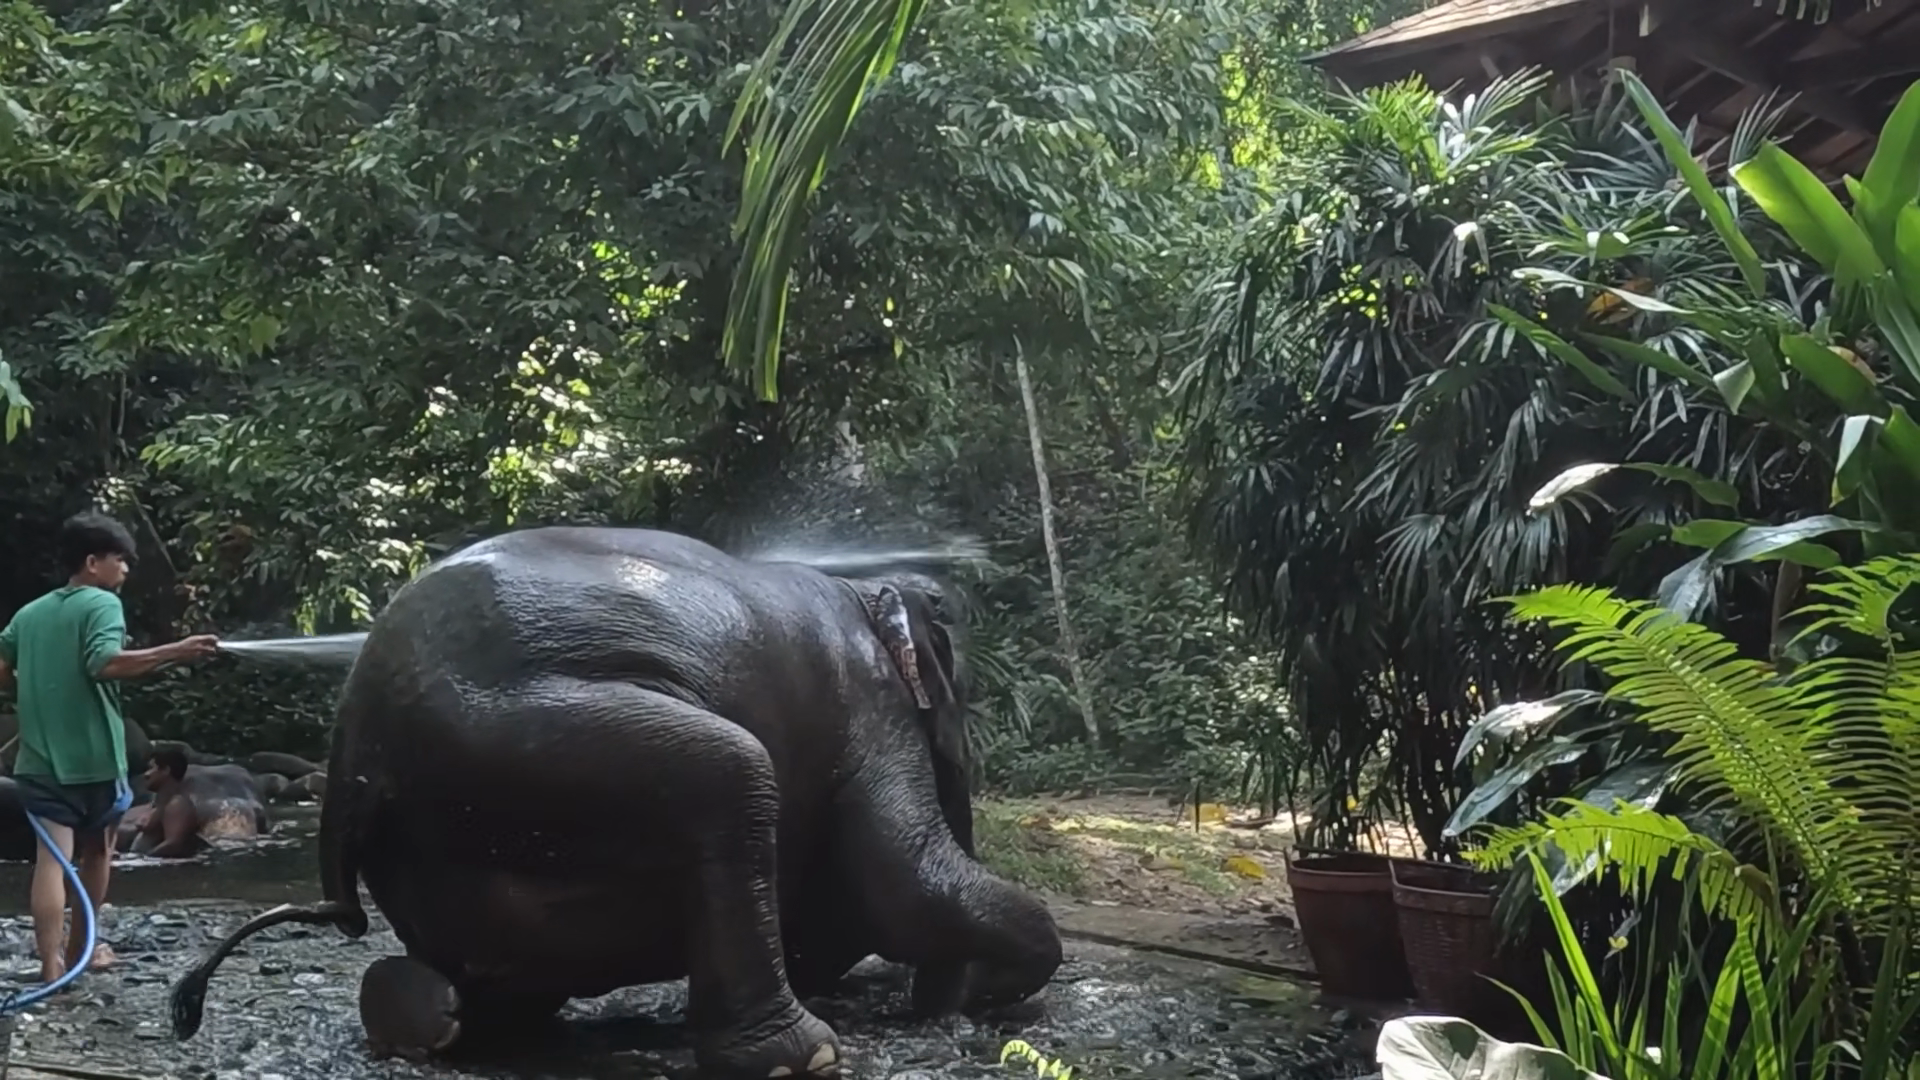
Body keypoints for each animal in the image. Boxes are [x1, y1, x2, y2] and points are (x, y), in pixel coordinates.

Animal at [170, 526, 1061, 1078]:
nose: (940, 992)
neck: (871, 591)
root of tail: (356, 743)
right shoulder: (869, 706)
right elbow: (897, 879)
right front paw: (972, 988)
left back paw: (426, 1023)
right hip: (528, 736)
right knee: (737, 775)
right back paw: (801, 1056)